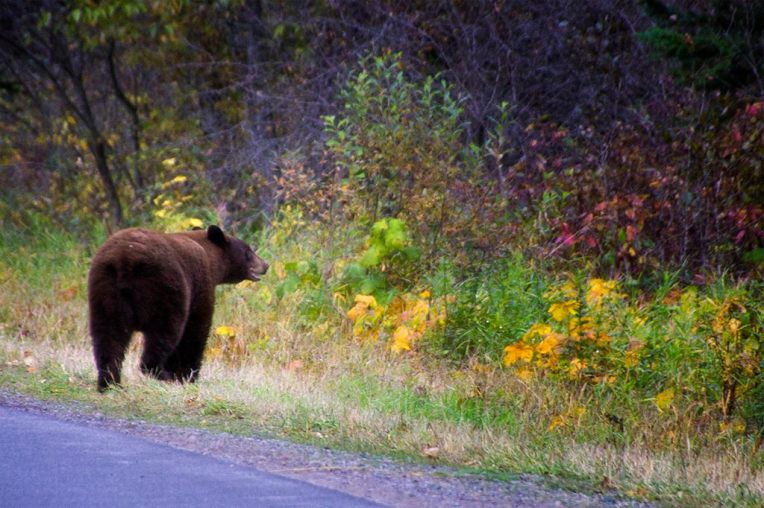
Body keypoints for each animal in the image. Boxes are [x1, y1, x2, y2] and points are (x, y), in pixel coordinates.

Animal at [87, 225, 268, 392]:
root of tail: (126, 259)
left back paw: (109, 383)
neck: (210, 257)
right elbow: (195, 330)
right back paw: (161, 374)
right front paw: (186, 376)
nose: (265, 264)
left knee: (108, 336)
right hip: (165, 289)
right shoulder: (200, 284)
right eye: (248, 251)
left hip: (106, 290)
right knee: (164, 334)